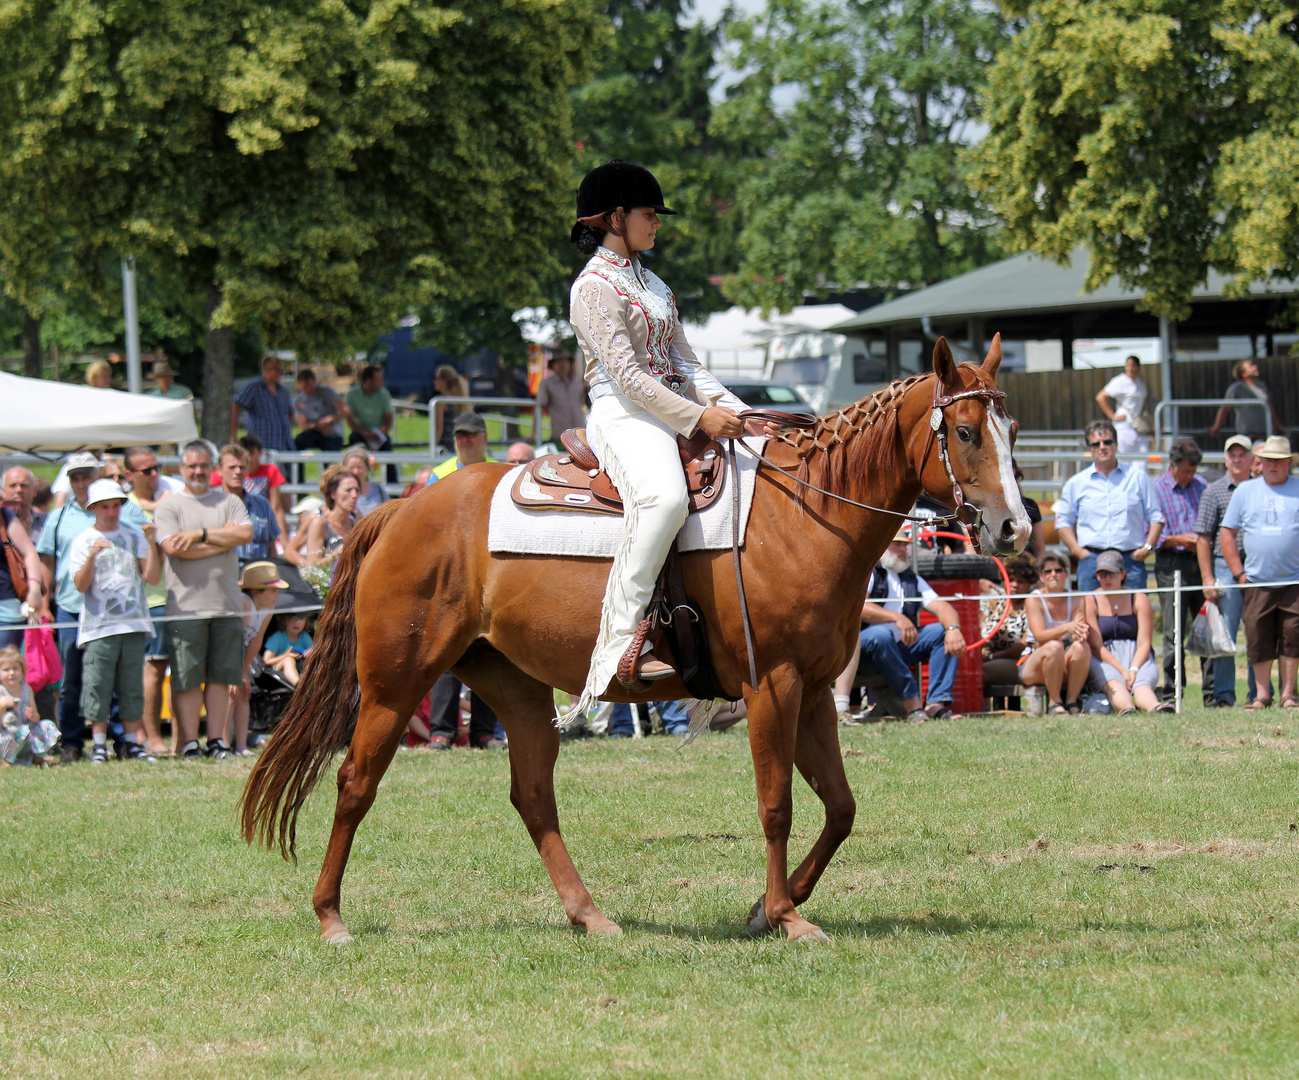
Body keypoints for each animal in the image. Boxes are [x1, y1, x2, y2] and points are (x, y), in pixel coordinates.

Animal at [244, 337, 1028, 946]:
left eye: (1013, 430)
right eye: (963, 432)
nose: (1015, 528)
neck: (805, 514)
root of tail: (399, 510)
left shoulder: (810, 692)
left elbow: (840, 807)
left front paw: (766, 908)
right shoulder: (770, 685)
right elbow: (776, 803)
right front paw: (784, 915)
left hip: (513, 685)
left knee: (533, 795)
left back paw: (589, 915)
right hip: (392, 683)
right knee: (355, 782)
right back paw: (331, 917)